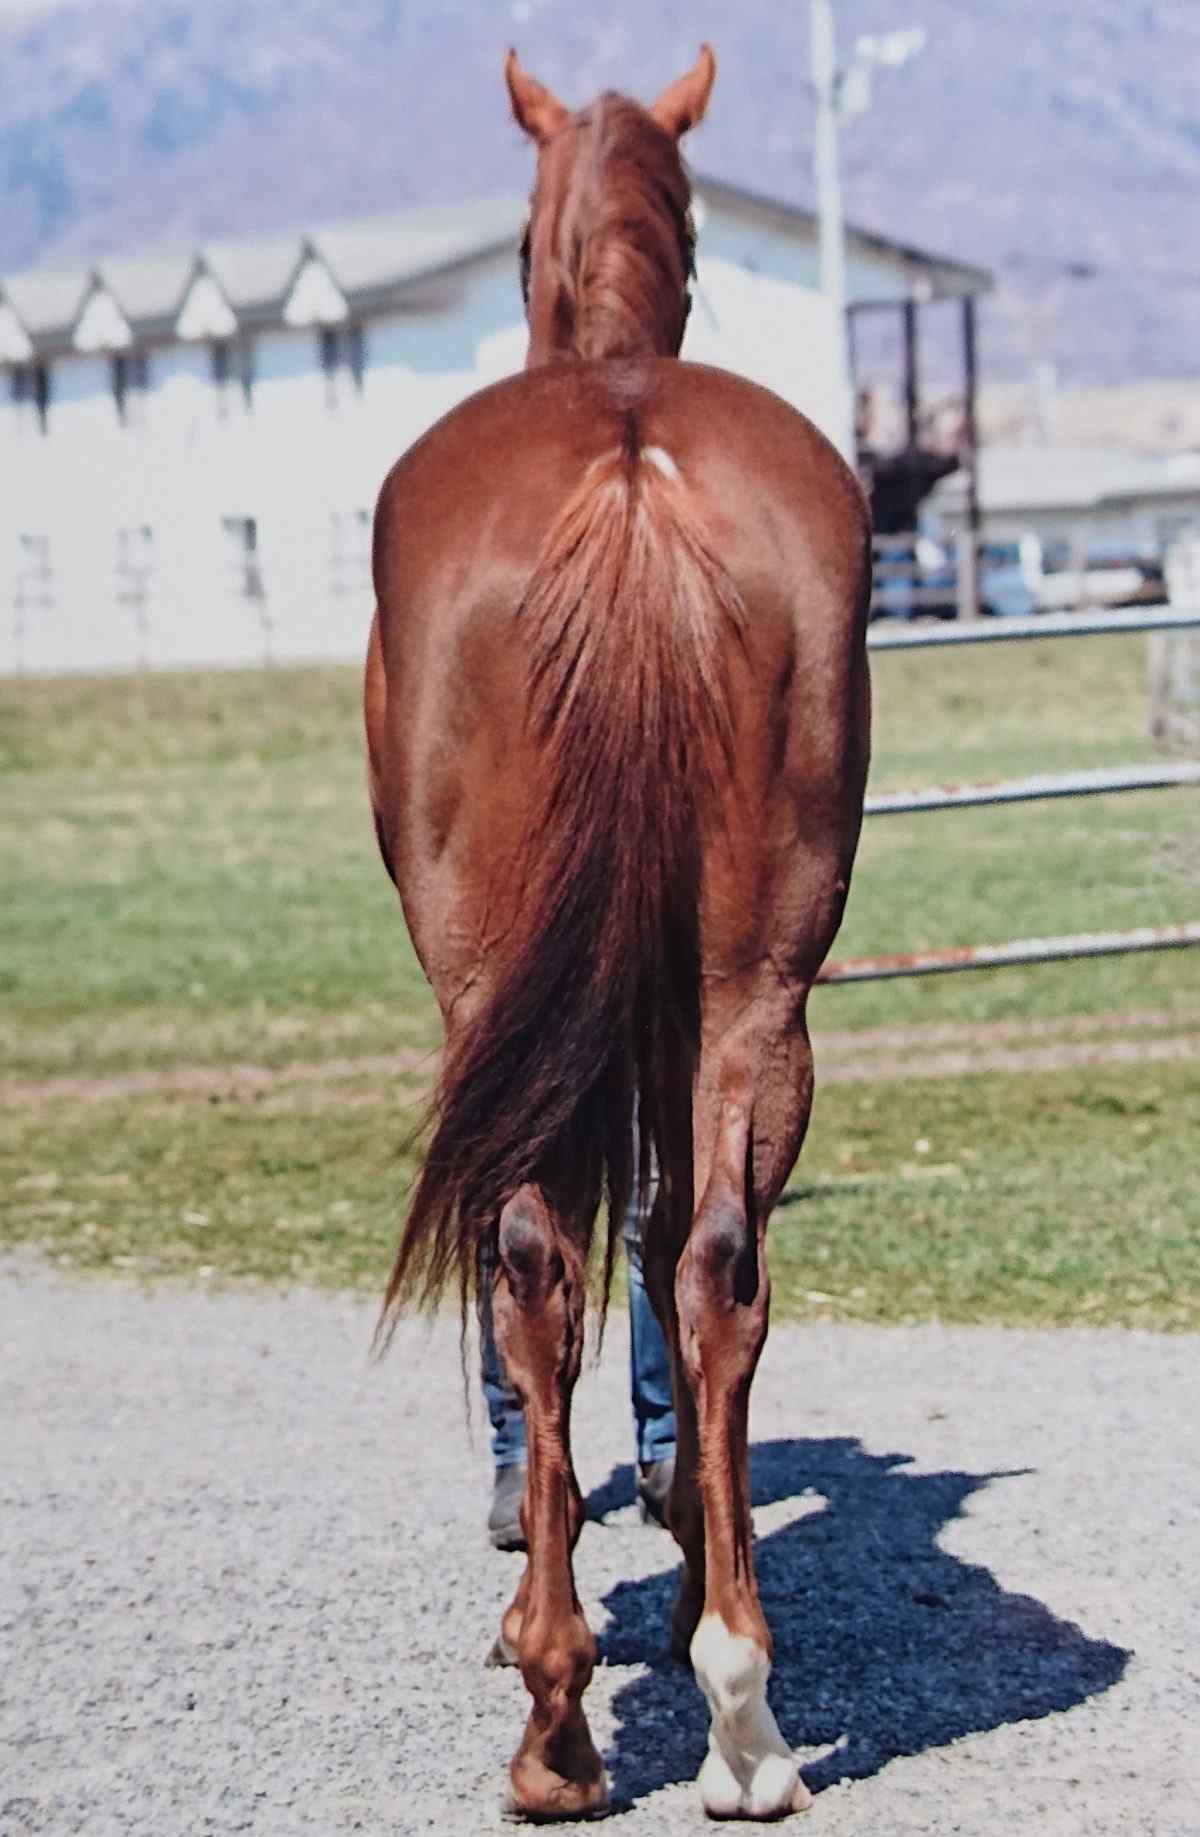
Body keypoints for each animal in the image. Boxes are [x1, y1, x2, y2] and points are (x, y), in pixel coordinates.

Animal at [365, 43, 871, 1822]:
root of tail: (635, 464)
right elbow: (666, 1240)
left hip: (499, 990)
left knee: (531, 1258)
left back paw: (557, 1722)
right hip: (754, 988)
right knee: (717, 1263)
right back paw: (742, 1711)